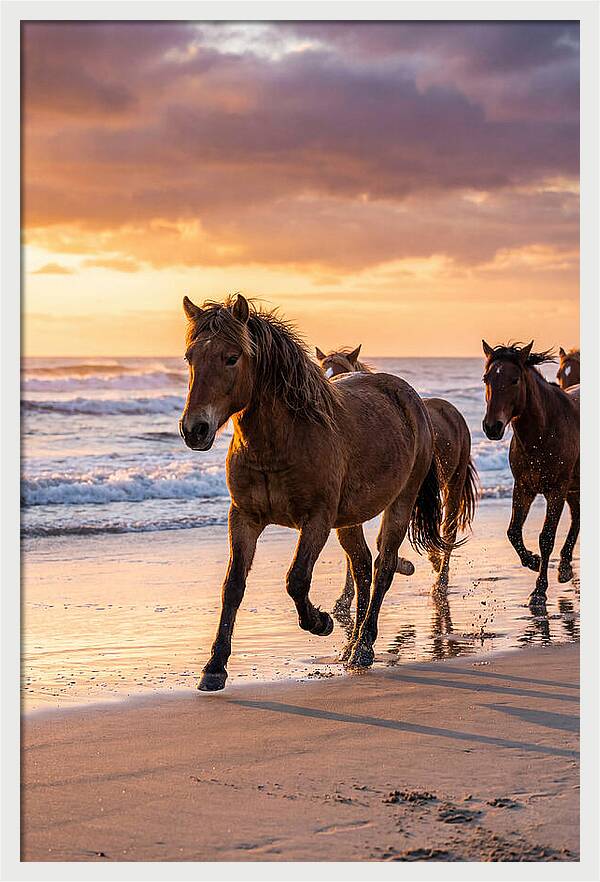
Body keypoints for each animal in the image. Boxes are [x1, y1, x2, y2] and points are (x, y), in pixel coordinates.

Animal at [179, 294, 449, 690]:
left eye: (231, 357)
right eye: (190, 357)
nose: (194, 429)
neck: (281, 442)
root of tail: (412, 400)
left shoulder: (316, 520)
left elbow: (296, 579)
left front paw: (321, 622)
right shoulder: (244, 518)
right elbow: (233, 586)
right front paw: (214, 667)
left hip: (399, 504)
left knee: (382, 567)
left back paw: (364, 647)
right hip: (349, 520)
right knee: (362, 567)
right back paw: (352, 647)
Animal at [316, 346, 478, 606]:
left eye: (342, 371)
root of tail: (451, 411)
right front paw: (345, 597)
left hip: (453, 485)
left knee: (448, 532)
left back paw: (440, 582)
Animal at [482, 340, 579, 606]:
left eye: (515, 379)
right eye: (486, 379)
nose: (492, 427)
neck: (544, 431)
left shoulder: (556, 490)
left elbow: (546, 538)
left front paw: (539, 590)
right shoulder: (524, 488)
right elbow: (513, 532)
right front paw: (532, 561)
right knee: (577, 517)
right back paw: (564, 567)